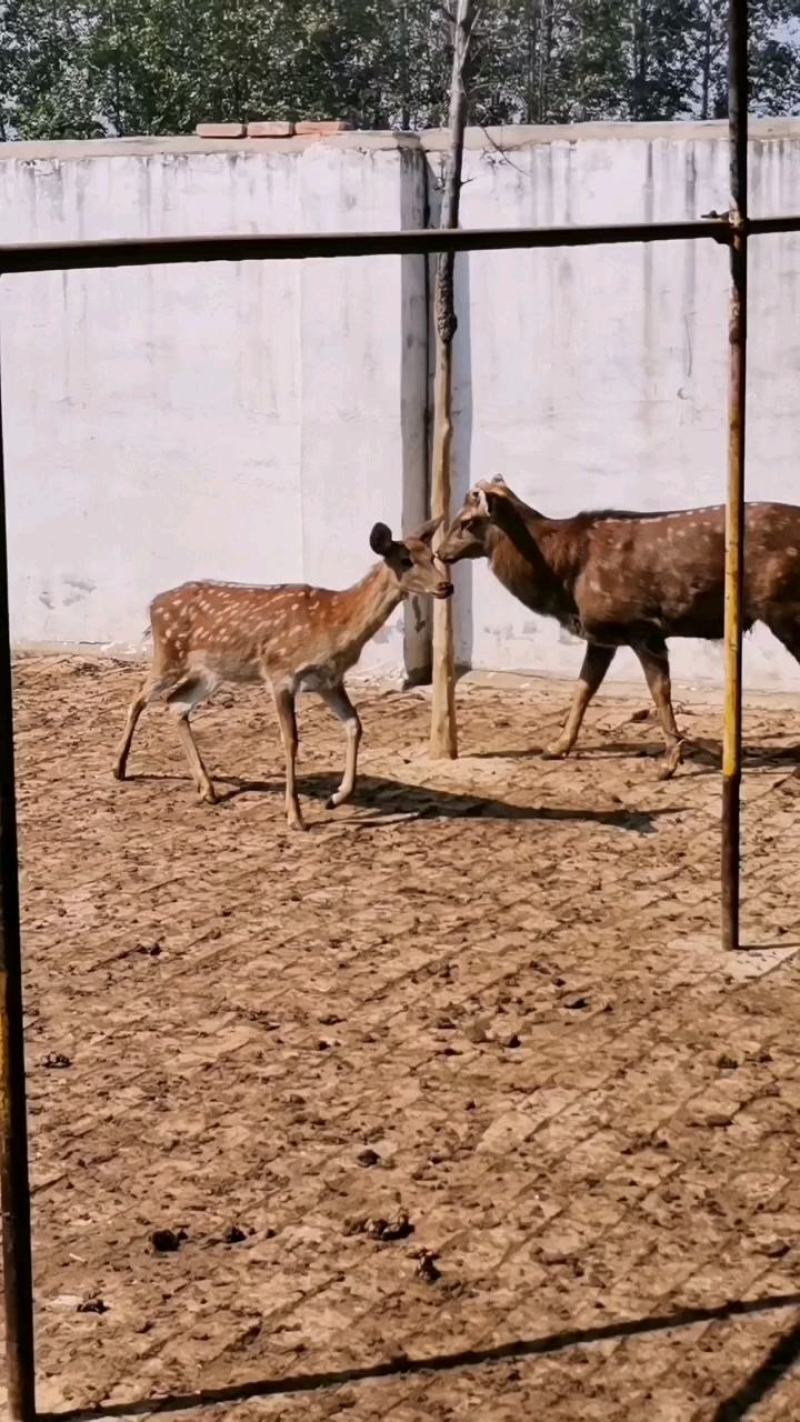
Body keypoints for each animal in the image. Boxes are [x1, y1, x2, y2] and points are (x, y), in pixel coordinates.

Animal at [113, 518, 451, 830]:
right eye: (406, 560)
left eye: (432, 555)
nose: (446, 586)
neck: (334, 623)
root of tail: (153, 603)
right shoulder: (280, 672)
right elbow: (290, 739)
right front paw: (295, 816)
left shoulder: (329, 679)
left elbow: (355, 725)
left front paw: (335, 798)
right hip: (169, 654)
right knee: (139, 695)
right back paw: (119, 768)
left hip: (210, 672)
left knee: (176, 702)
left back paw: (207, 788)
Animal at [438, 476, 800, 778]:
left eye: (467, 522)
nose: (440, 552)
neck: (563, 578)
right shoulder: (602, 636)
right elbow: (584, 687)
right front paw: (556, 746)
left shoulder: (640, 625)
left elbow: (659, 691)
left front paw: (669, 763)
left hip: (784, 607)